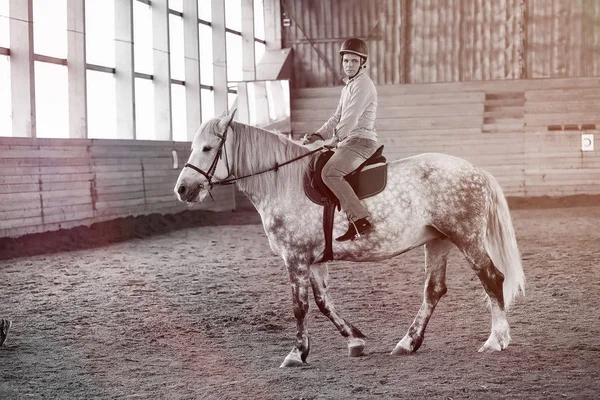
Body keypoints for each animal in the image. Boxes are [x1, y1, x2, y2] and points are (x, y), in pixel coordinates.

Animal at [173, 111, 524, 368]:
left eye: (207, 148)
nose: (183, 189)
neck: (284, 183)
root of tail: (476, 171)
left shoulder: (295, 258)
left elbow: (300, 307)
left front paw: (296, 354)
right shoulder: (312, 260)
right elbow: (323, 303)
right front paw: (355, 340)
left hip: (466, 237)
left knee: (492, 278)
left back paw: (496, 340)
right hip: (438, 241)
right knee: (434, 291)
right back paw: (407, 343)